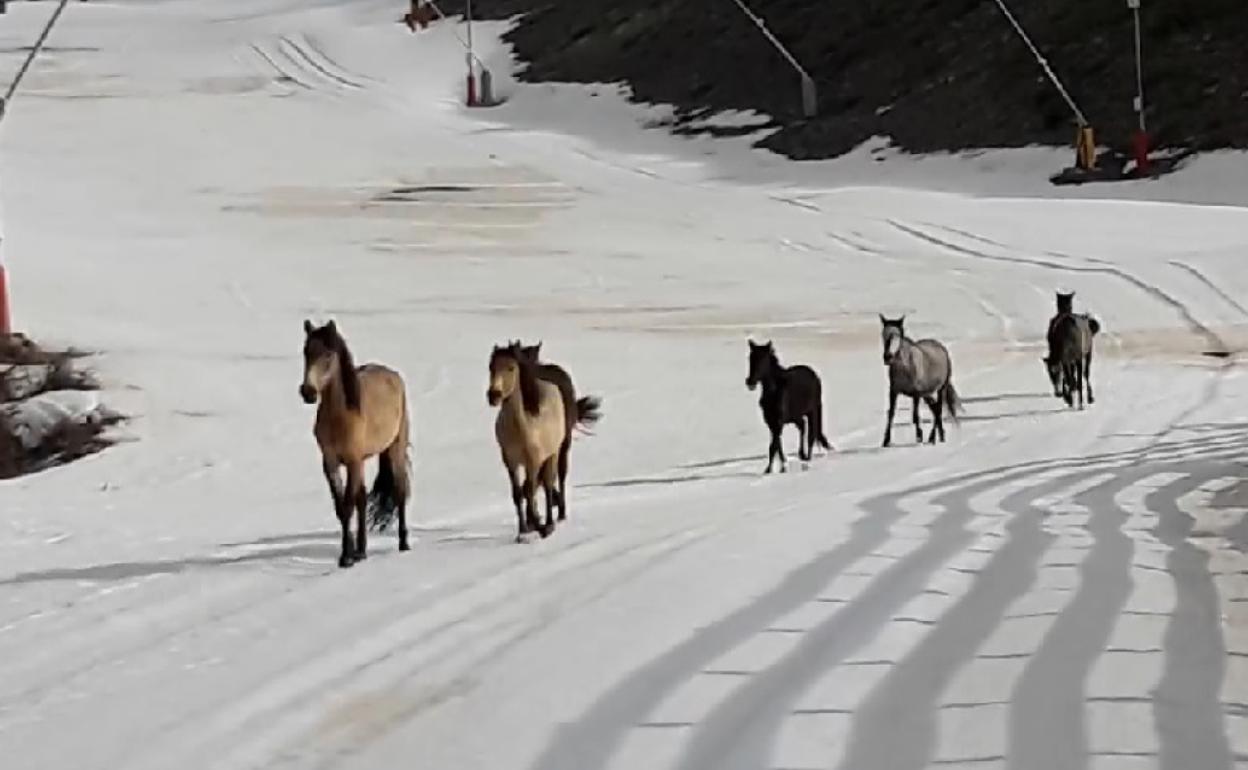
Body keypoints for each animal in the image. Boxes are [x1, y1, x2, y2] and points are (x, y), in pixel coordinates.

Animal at [300, 319, 412, 568]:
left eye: (328, 354)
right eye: (306, 352)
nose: (308, 392)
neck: (341, 415)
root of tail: (394, 376)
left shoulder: (352, 461)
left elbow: (348, 505)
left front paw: (346, 557)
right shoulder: (330, 462)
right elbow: (342, 507)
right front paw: (350, 552)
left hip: (395, 449)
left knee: (400, 491)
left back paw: (404, 544)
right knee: (362, 497)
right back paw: (362, 550)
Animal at [745, 339, 833, 474]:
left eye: (764, 359)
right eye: (750, 358)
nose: (750, 382)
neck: (774, 391)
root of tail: (813, 374)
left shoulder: (778, 422)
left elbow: (774, 445)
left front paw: (776, 469)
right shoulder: (771, 423)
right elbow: (775, 445)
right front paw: (775, 468)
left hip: (813, 411)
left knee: (811, 435)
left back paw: (807, 460)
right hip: (797, 416)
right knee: (803, 427)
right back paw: (802, 455)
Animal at [879, 315, 961, 447]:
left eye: (897, 335)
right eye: (883, 334)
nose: (888, 357)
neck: (905, 367)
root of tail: (941, 348)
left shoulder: (916, 393)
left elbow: (915, 416)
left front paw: (919, 437)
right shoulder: (894, 391)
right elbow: (891, 414)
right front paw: (886, 440)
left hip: (941, 388)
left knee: (938, 409)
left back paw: (933, 438)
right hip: (926, 393)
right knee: (935, 409)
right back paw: (940, 435)